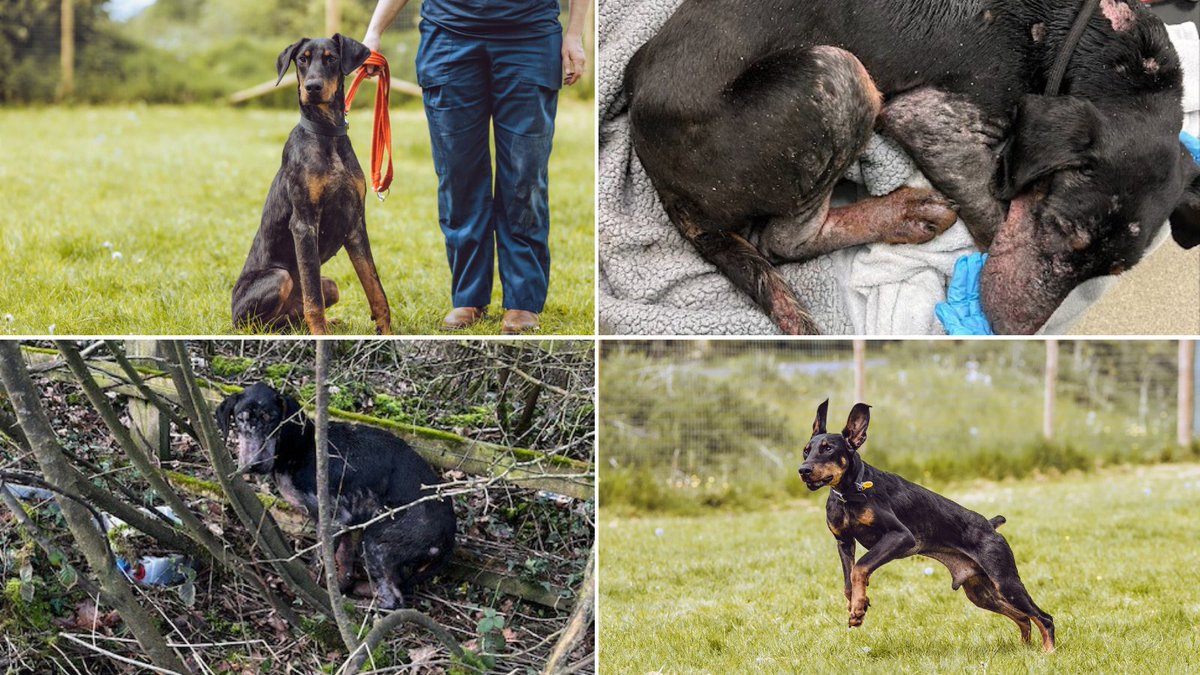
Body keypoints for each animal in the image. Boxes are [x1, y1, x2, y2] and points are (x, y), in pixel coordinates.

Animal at [216, 381, 453, 607]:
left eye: (273, 419)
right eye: (240, 419)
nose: (254, 464)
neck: (300, 447)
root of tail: (450, 532)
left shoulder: (333, 519)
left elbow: (320, 560)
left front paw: (314, 589)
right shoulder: (346, 523)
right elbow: (344, 568)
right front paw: (337, 590)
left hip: (376, 539)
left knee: (394, 599)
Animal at [236, 34, 396, 333]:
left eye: (331, 58)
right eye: (302, 59)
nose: (312, 87)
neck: (328, 134)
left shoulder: (356, 224)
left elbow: (376, 289)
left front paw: (387, 333)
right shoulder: (304, 223)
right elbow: (314, 302)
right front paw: (321, 335)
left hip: (330, 285)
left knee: (294, 316)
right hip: (279, 278)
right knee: (260, 324)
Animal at [628, 0, 1200, 331]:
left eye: (1111, 270)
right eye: (1059, 227)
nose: (1009, 333)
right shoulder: (929, 118)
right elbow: (994, 220)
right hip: (837, 72)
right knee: (783, 241)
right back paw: (899, 214)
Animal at [801, 401, 1056, 648]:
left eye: (828, 448)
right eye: (806, 451)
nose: (803, 470)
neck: (850, 493)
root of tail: (991, 526)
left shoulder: (900, 536)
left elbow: (861, 567)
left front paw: (858, 608)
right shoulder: (844, 542)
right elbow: (848, 581)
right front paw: (858, 605)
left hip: (1005, 581)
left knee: (1044, 618)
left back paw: (1048, 652)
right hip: (981, 592)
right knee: (1024, 618)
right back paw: (1025, 648)